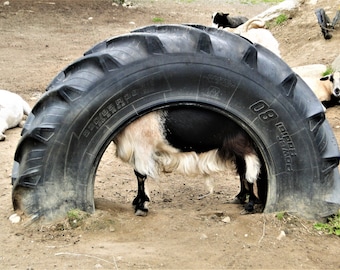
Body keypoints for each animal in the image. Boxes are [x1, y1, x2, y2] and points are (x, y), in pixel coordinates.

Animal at [113, 106, 262, 216]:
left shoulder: (142, 146)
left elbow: (141, 175)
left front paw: (141, 206)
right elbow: (138, 175)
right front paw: (137, 201)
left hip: (241, 143)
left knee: (250, 170)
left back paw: (250, 205)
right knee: (242, 169)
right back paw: (240, 197)